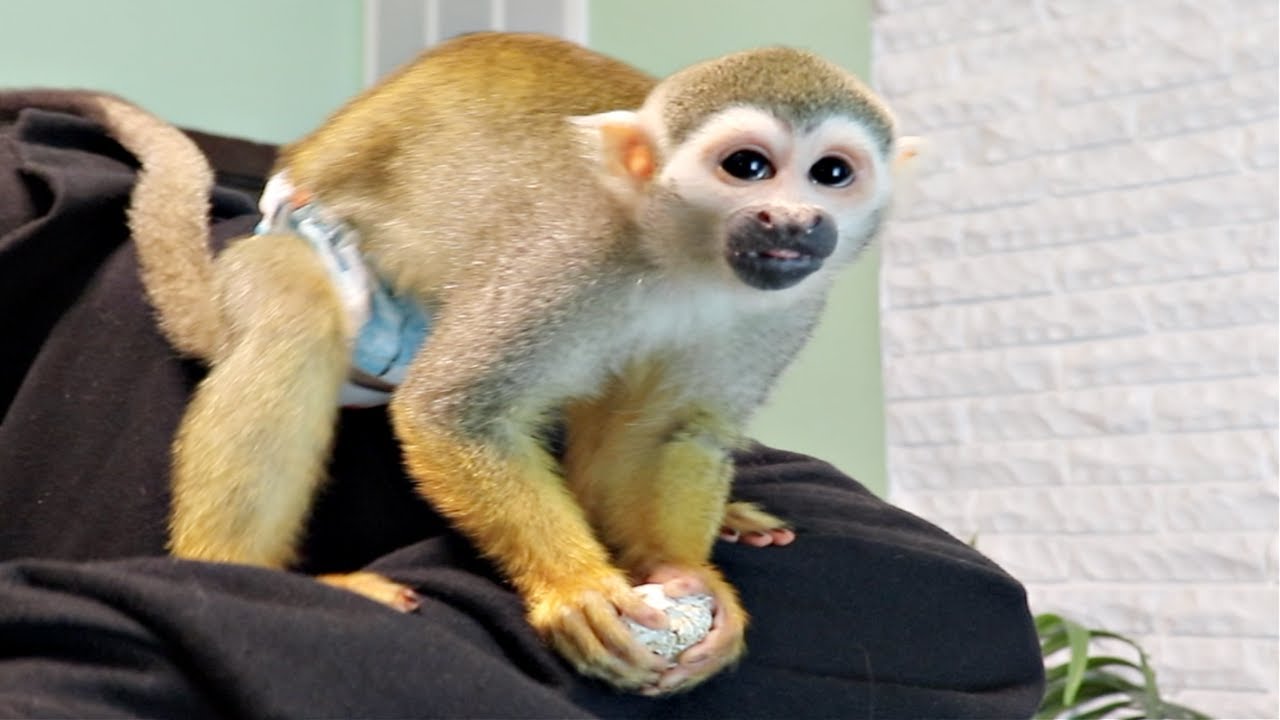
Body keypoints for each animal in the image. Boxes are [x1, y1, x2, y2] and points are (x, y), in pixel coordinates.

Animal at [115, 32, 914, 695]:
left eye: (831, 173)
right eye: (748, 167)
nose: (795, 221)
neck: (683, 257)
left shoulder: (791, 304)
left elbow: (668, 431)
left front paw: (687, 574)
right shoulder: (563, 255)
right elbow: (455, 413)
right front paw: (577, 589)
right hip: (322, 248)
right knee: (296, 313)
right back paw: (235, 565)